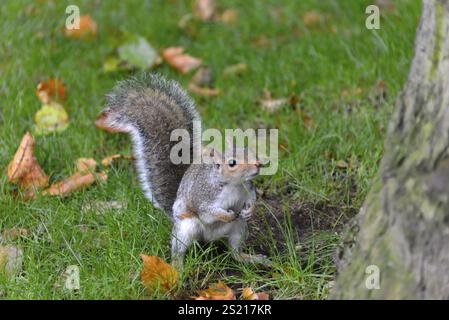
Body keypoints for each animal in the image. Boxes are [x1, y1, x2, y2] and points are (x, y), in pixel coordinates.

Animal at [98, 74, 266, 266]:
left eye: (250, 151)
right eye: (232, 163)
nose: (257, 165)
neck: (234, 185)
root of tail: (210, 239)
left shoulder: (248, 189)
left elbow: (252, 199)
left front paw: (249, 210)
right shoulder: (204, 196)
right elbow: (207, 212)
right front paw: (227, 215)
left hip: (238, 229)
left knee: (234, 252)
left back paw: (251, 258)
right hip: (186, 228)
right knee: (179, 250)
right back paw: (177, 266)